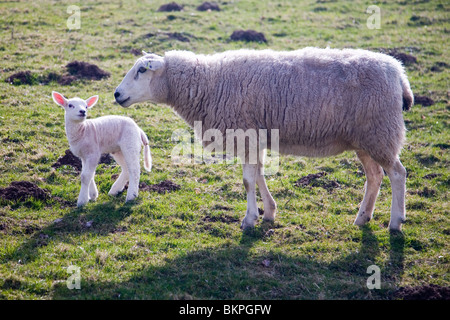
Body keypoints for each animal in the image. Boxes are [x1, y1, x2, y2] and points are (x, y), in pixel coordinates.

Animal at [114, 47, 414, 231]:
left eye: (142, 70)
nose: (117, 94)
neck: (208, 84)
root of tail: (399, 72)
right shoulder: (254, 137)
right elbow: (257, 175)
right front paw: (268, 212)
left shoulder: (245, 134)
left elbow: (248, 181)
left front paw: (249, 220)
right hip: (366, 138)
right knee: (375, 176)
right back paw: (362, 218)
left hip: (380, 132)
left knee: (398, 173)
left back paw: (396, 222)